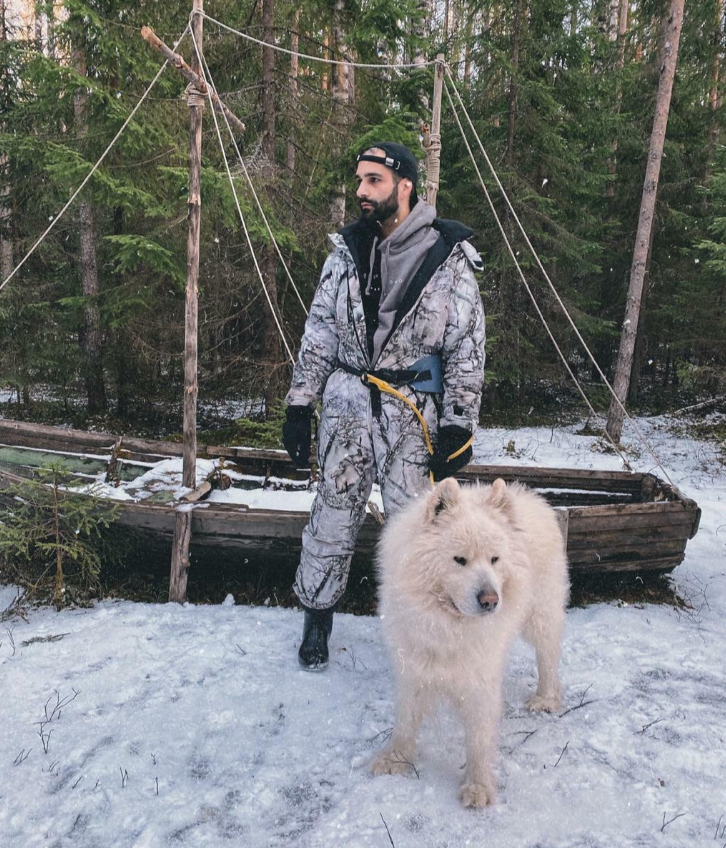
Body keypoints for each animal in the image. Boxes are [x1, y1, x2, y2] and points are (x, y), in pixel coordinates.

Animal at [370, 477, 569, 808]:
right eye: (460, 560)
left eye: (494, 559)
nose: (490, 600)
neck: (448, 626)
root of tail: (530, 498)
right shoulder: (413, 669)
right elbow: (406, 721)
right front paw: (395, 758)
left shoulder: (479, 681)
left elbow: (478, 739)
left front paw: (477, 787)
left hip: (540, 617)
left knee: (548, 657)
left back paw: (546, 699)